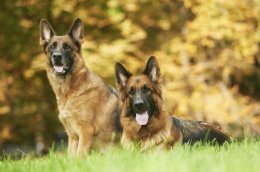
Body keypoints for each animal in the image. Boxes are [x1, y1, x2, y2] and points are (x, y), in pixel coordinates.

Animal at [39, 18, 120, 156]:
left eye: (67, 47)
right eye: (52, 47)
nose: (57, 56)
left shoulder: (85, 131)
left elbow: (79, 156)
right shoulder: (72, 137)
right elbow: (70, 157)